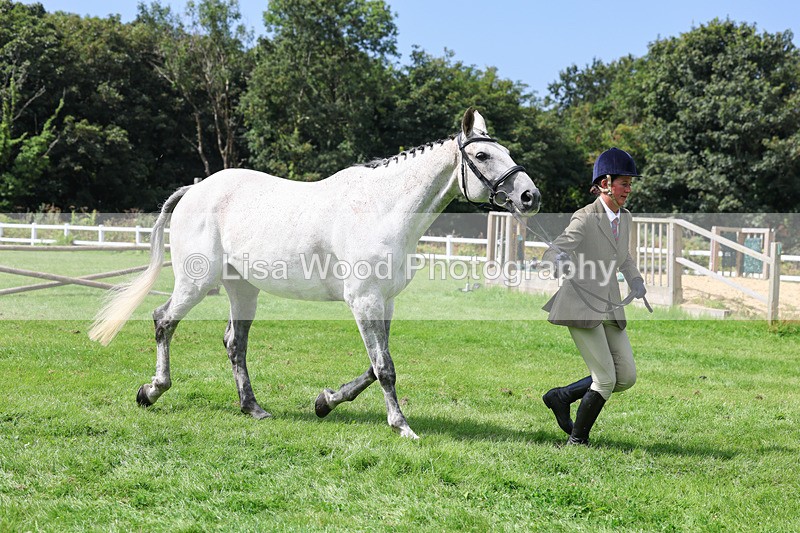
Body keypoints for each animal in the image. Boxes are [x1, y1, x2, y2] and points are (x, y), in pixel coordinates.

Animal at [89, 108, 540, 438]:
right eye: (482, 156)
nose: (529, 196)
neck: (382, 209)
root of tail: (195, 190)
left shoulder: (384, 302)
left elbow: (374, 367)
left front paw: (325, 401)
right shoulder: (364, 301)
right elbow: (384, 367)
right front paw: (402, 426)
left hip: (243, 289)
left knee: (235, 343)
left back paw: (253, 408)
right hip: (197, 282)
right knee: (164, 320)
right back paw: (151, 391)